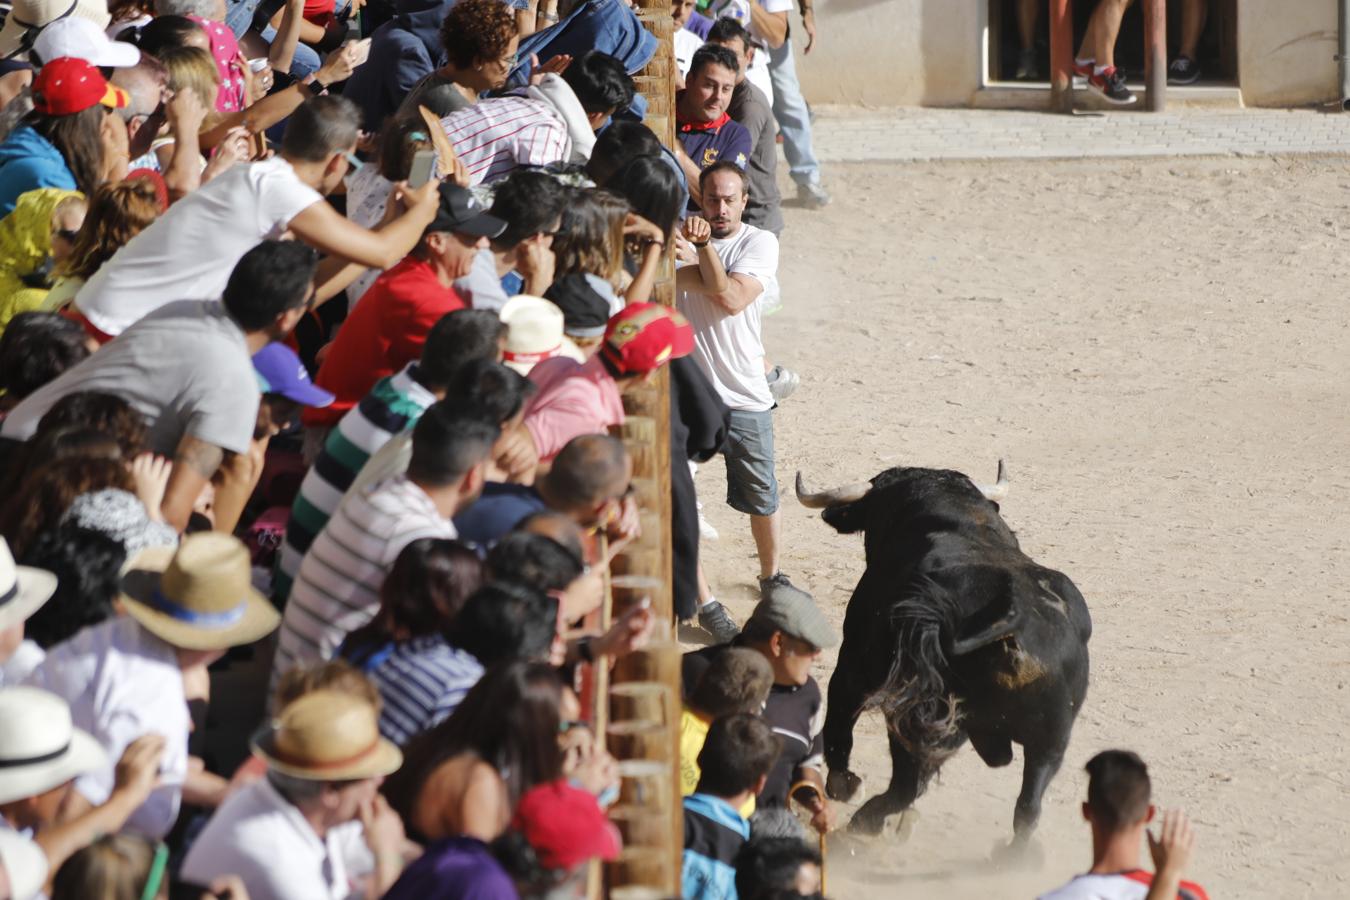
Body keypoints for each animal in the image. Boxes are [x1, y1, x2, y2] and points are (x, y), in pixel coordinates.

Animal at [793, 464, 1090, 847]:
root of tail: (1016, 621)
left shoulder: (853, 664)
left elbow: (839, 726)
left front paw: (844, 785)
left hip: (914, 712)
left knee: (906, 783)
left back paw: (864, 822)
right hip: (1050, 742)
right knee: (1028, 808)